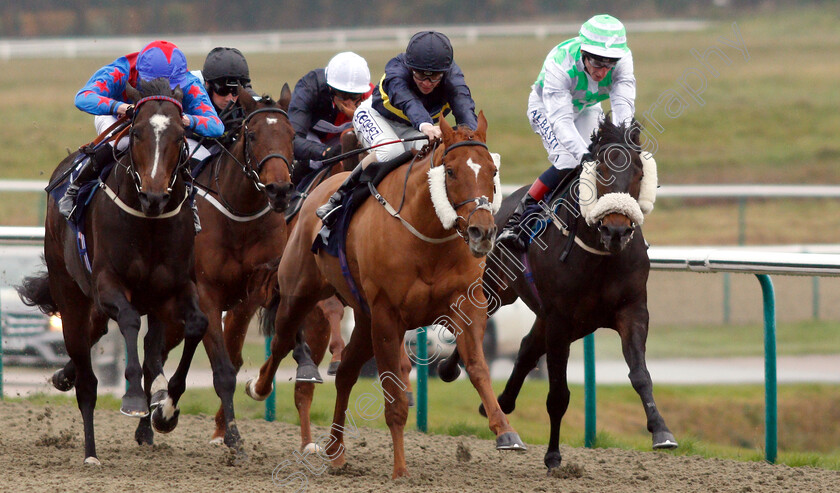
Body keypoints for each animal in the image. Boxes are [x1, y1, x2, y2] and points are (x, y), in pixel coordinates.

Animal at [18, 78, 205, 466]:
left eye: (181, 135)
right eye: (135, 133)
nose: (153, 196)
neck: (149, 223)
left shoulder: (177, 288)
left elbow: (196, 325)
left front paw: (167, 409)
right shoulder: (109, 285)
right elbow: (131, 321)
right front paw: (134, 398)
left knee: (98, 337)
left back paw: (66, 376)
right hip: (71, 293)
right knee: (87, 382)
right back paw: (90, 452)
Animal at [243, 112, 524, 476]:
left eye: (492, 171)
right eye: (450, 171)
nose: (482, 232)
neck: (429, 239)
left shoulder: (466, 308)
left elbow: (477, 366)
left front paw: (506, 432)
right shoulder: (388, 317)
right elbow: (394, 394)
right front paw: (400, 469)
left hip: (364, 318)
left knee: (346, 371)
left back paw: (336, 451)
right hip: (300, 293)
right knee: (280, 342)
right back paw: (259, 387)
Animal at [434, 117, 676, 470]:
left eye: (639, 172)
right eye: (601, 169)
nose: (616, 230)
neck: (600, 255)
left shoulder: (631, 311)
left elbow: (640, 374)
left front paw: (661, 430)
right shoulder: (561, 318)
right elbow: (558, 394)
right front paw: (552, 455)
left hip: (559, 318)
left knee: (526, 348)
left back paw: (502, 402)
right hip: (500, 290)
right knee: (478, 326)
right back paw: (450, 369)